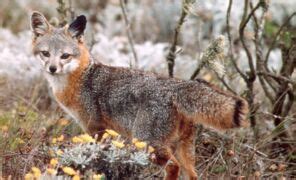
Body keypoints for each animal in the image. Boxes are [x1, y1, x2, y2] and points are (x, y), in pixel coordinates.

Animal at [30, 11, 249, 179]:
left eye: (65, 56)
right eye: (45, 54)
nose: (52, 68)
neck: (81, 77)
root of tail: (176, 85)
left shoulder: (95, 128)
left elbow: (95, 155)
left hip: (149, 144)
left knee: (173, 167)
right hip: (183, 148)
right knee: (192, 174)